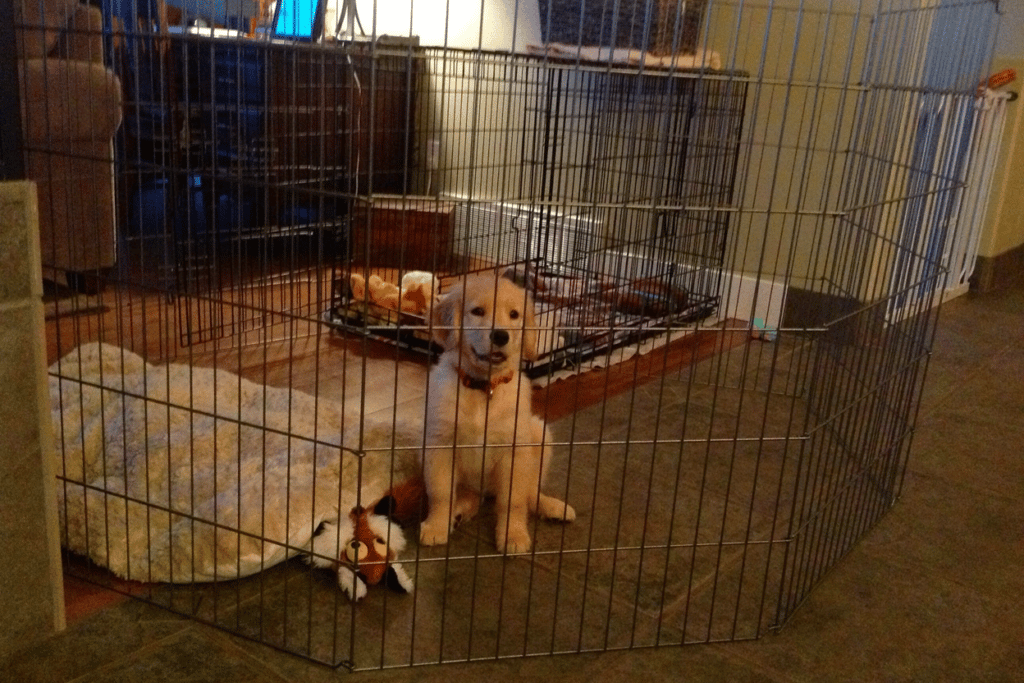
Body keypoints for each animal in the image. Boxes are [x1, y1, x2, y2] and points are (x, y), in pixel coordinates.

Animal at [417, 274, 577, 552]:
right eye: (477, 311)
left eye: (514, 314)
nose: (501, 336)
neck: (485, 388)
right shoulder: (440, 444)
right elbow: (441, 492)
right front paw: (437, 526)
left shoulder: (514, 450)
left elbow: (513, 500)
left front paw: (513, 535)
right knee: (470, 495)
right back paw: (459, 511)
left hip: (540, 434)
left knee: (529, 492)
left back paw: (551, 506)